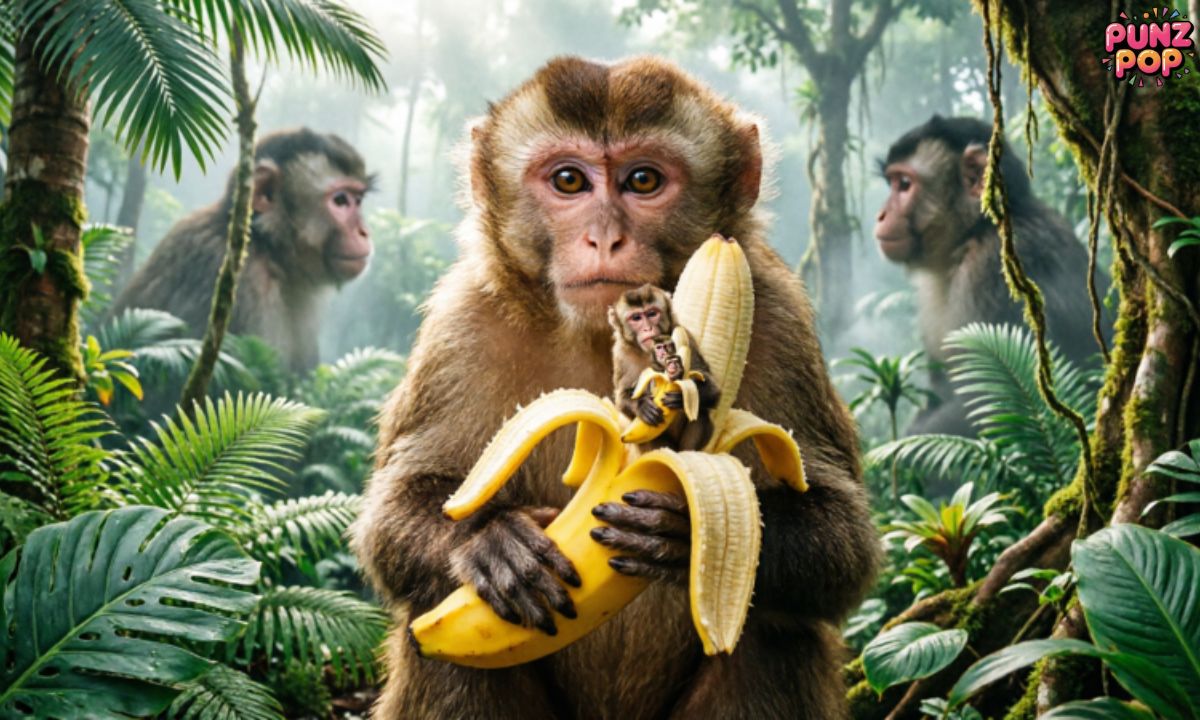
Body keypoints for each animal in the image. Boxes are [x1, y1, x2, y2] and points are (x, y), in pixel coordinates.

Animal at [608, 284, 719, 452]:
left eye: (652, 313)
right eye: (636, 318)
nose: (647, 328)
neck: (650, 354)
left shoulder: (686, 337)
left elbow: (712, 389)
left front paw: (680, 395)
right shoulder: (620, 354)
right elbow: (622, 397)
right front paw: (641, 405)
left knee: (701, 411)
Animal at [875, 115, 1110, 438]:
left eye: (905, 185)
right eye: (892, 182)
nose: (881, 215)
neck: (974, 232)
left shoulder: (994, 271)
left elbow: (996, 399)